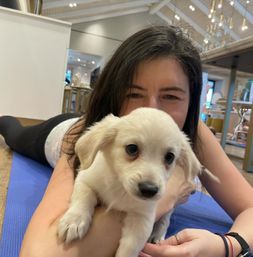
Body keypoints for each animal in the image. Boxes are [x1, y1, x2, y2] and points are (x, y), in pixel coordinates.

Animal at [57, 106, 202, 256]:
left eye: (170, 157)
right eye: (132, 148)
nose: (149, 190)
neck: (120, 188)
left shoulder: (142, 218)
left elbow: (129, 248)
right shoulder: (85, 180)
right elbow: (84, 197)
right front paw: (74, 221)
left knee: (165, 220)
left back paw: (158, 234)